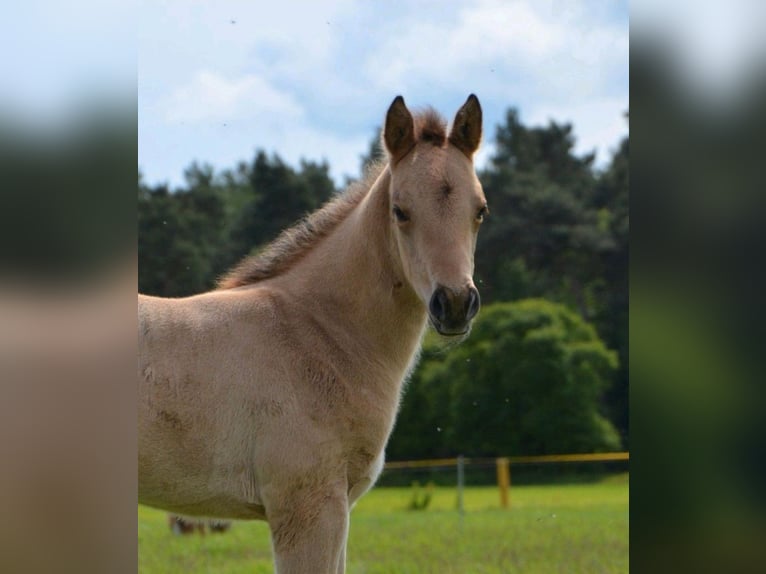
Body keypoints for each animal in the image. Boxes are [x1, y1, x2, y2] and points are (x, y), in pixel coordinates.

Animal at [138, 94, 487, 573]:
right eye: (400, 210)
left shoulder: (336, 507)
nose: (453, 304)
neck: (317, 332)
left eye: (480, 210)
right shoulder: (307, 506)